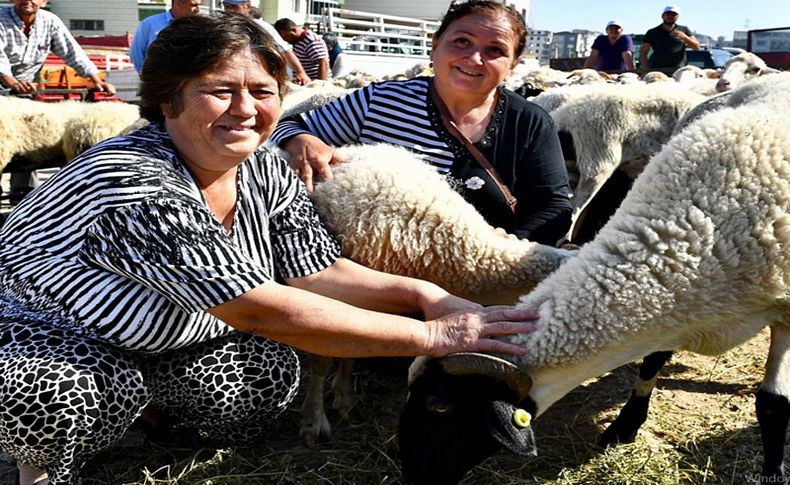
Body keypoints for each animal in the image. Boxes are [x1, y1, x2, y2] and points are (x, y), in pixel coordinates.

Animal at [402, 86, 790, 480]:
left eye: (439, 404)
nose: (412, 475)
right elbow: (652, 362)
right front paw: (626, 425)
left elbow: (773, 405)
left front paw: (774, 469)